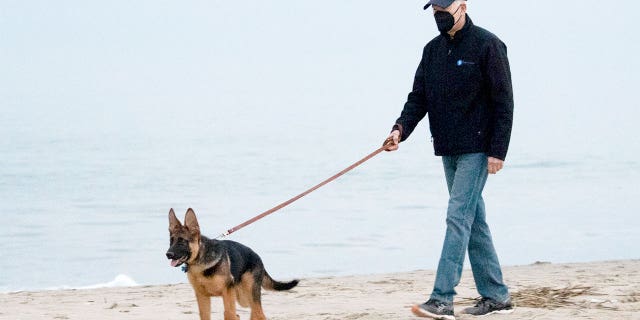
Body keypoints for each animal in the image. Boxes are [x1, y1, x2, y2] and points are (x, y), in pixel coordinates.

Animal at [164, 208, 296, 320]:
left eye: (182, 242)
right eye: (171, 240)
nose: (168, 254)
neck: (200, 260)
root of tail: (258, 257)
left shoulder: (227, 293)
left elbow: (228, 313)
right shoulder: (202, 296)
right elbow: (205, 315)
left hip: (247, 294)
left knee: (259, 314)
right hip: (242, 298)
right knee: (251, 313)